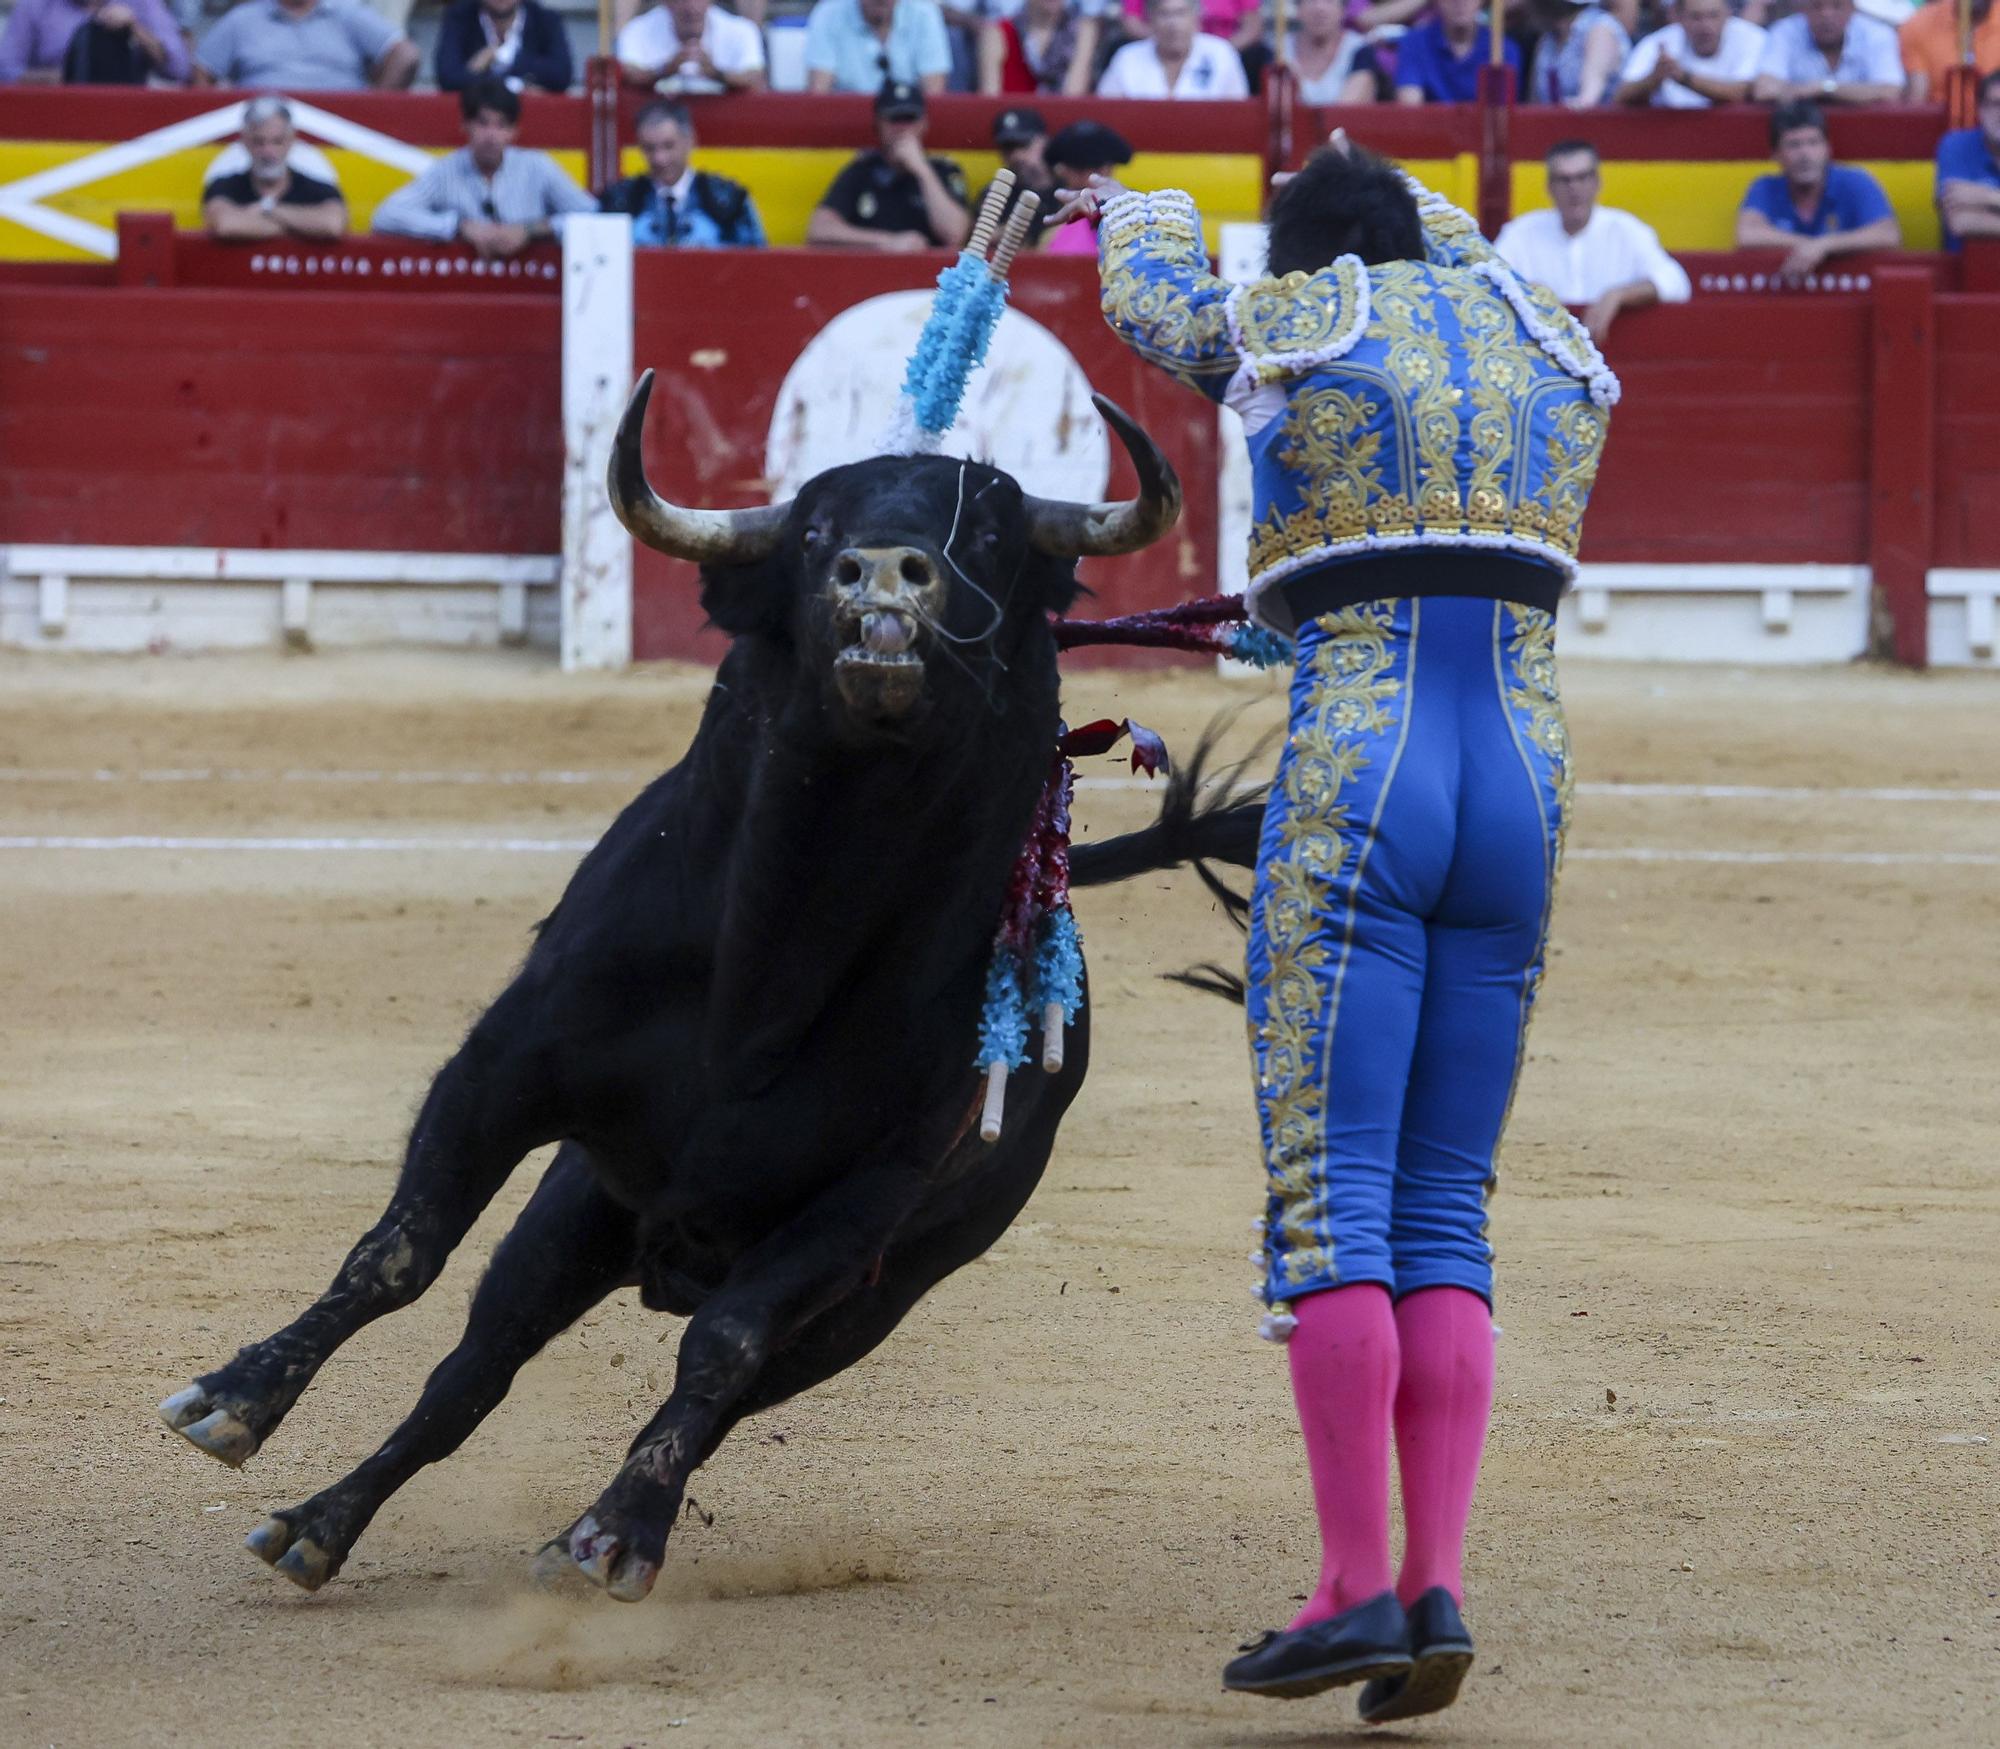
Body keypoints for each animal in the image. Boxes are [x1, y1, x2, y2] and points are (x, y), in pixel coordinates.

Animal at [168, 378, 1264, 1592]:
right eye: (815, 533)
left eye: (985, 531)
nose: (884, 574)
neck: (772, 973)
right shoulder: (506, 1067)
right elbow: (399, 1249)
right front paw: (236, 1396)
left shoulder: (867, 1204)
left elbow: (721, 1351)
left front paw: (611, 1534)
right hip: (582, 1211)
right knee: (474, 1369)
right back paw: (320, 1522)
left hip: (873, 1297)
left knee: (720, 1389)